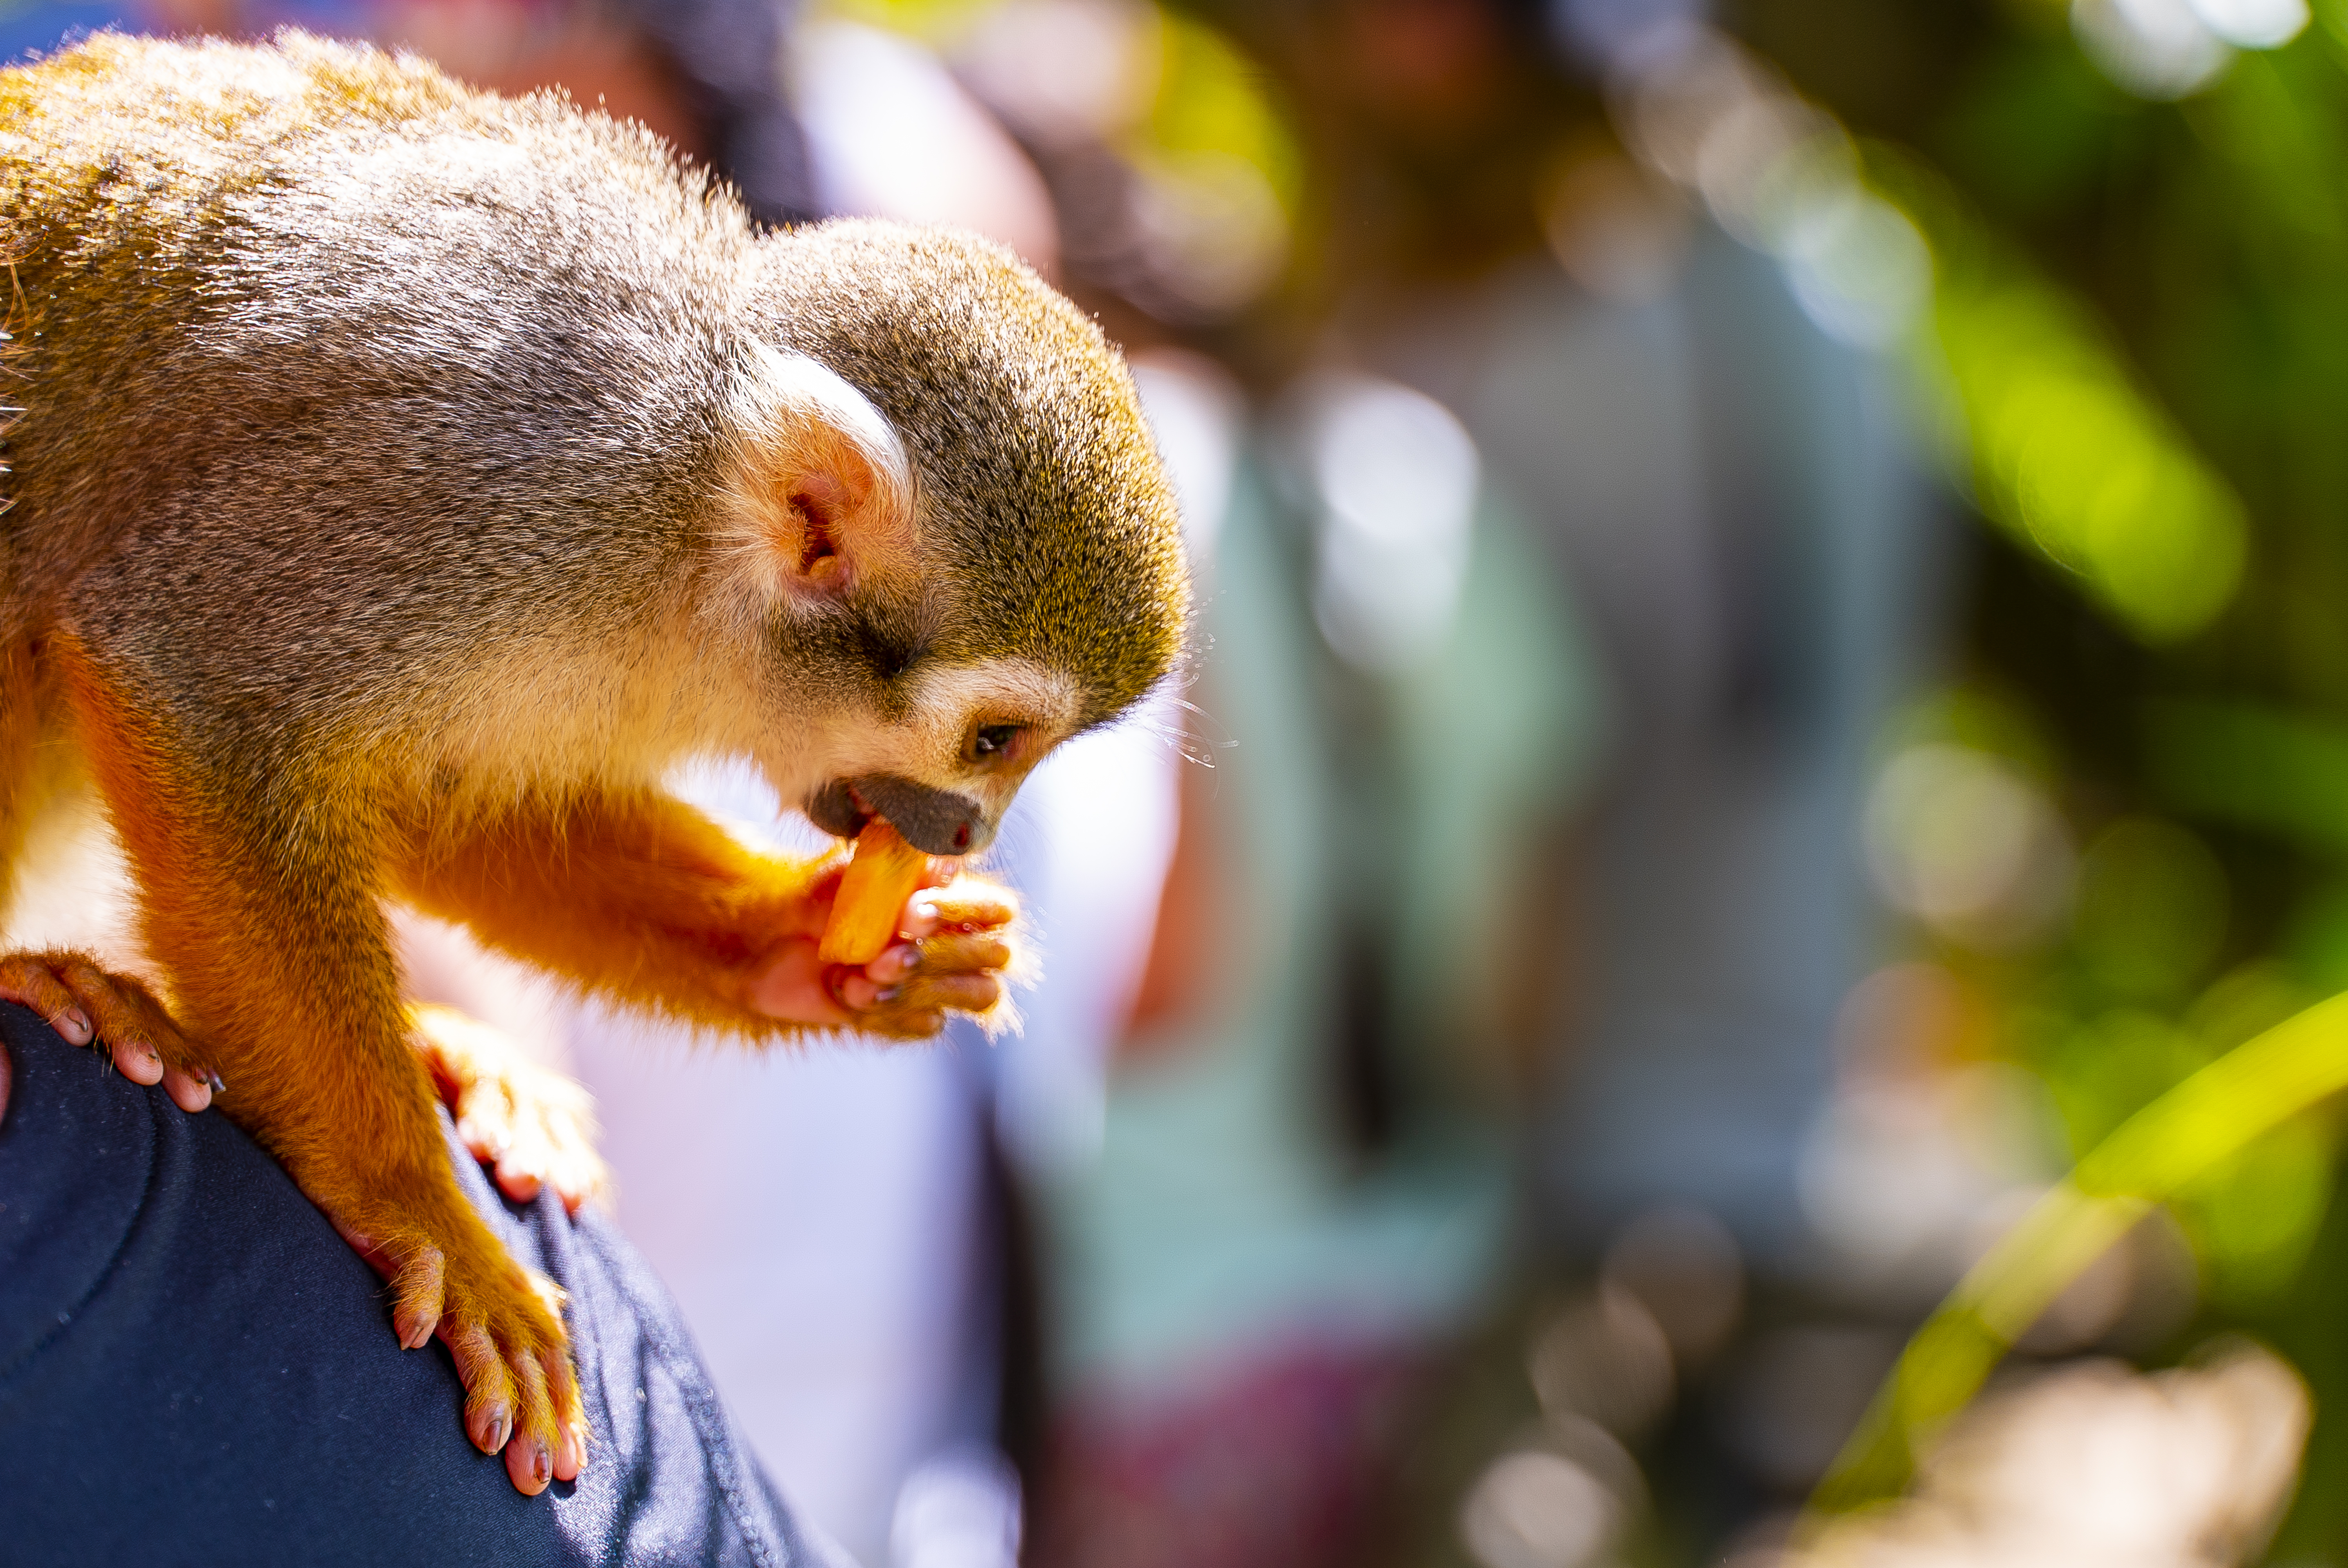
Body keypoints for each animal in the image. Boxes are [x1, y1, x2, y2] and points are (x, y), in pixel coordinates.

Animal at [0, 32, 1186, 1494]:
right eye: (995, 739)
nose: (963, 833)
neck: (685, 516)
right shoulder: (472, 493)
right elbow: (199, 689)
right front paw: (417, 1205)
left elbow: (459, 805)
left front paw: (799, 947)